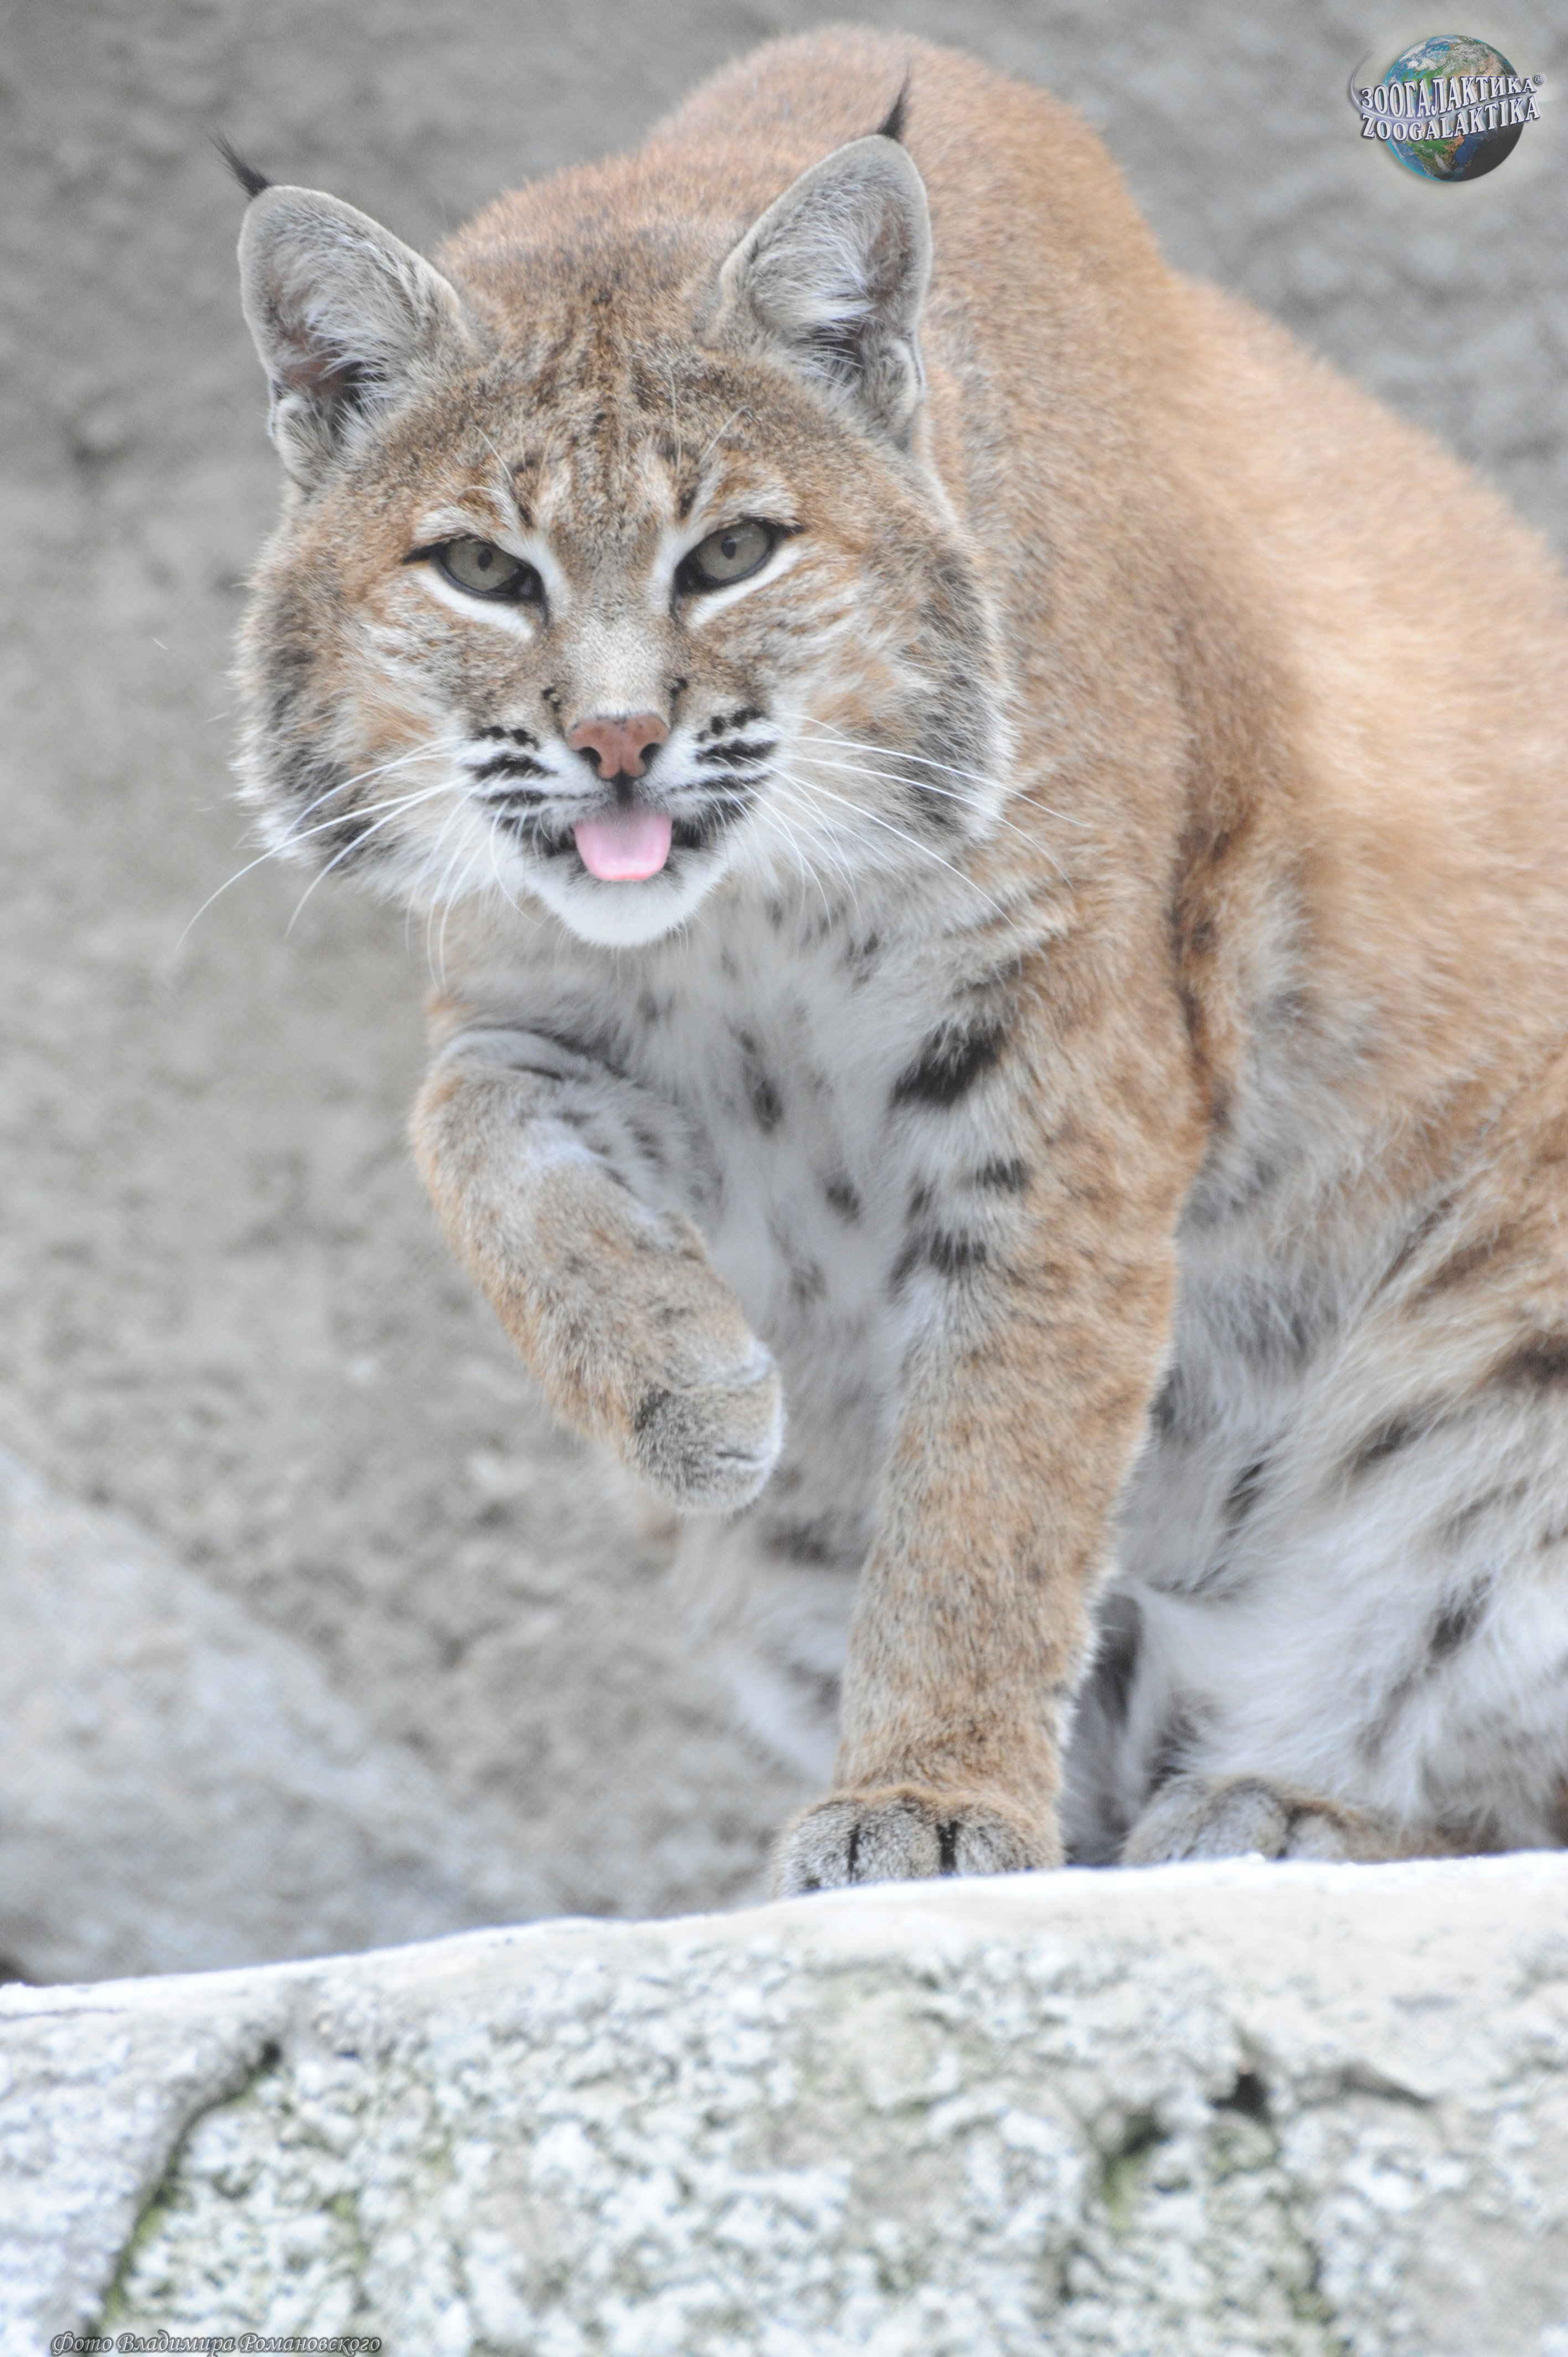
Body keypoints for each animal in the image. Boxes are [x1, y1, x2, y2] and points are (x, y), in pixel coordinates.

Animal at [230, 27, 1568, 1892]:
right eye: (484, 570)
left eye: (733, 552)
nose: (620, 744)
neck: (754, 914)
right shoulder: (531, 998)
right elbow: (470, 1138)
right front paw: (685, 1388)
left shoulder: (1060, 1090)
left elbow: (994, 1468)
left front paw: (930, 1797)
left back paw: (1283, 1813)